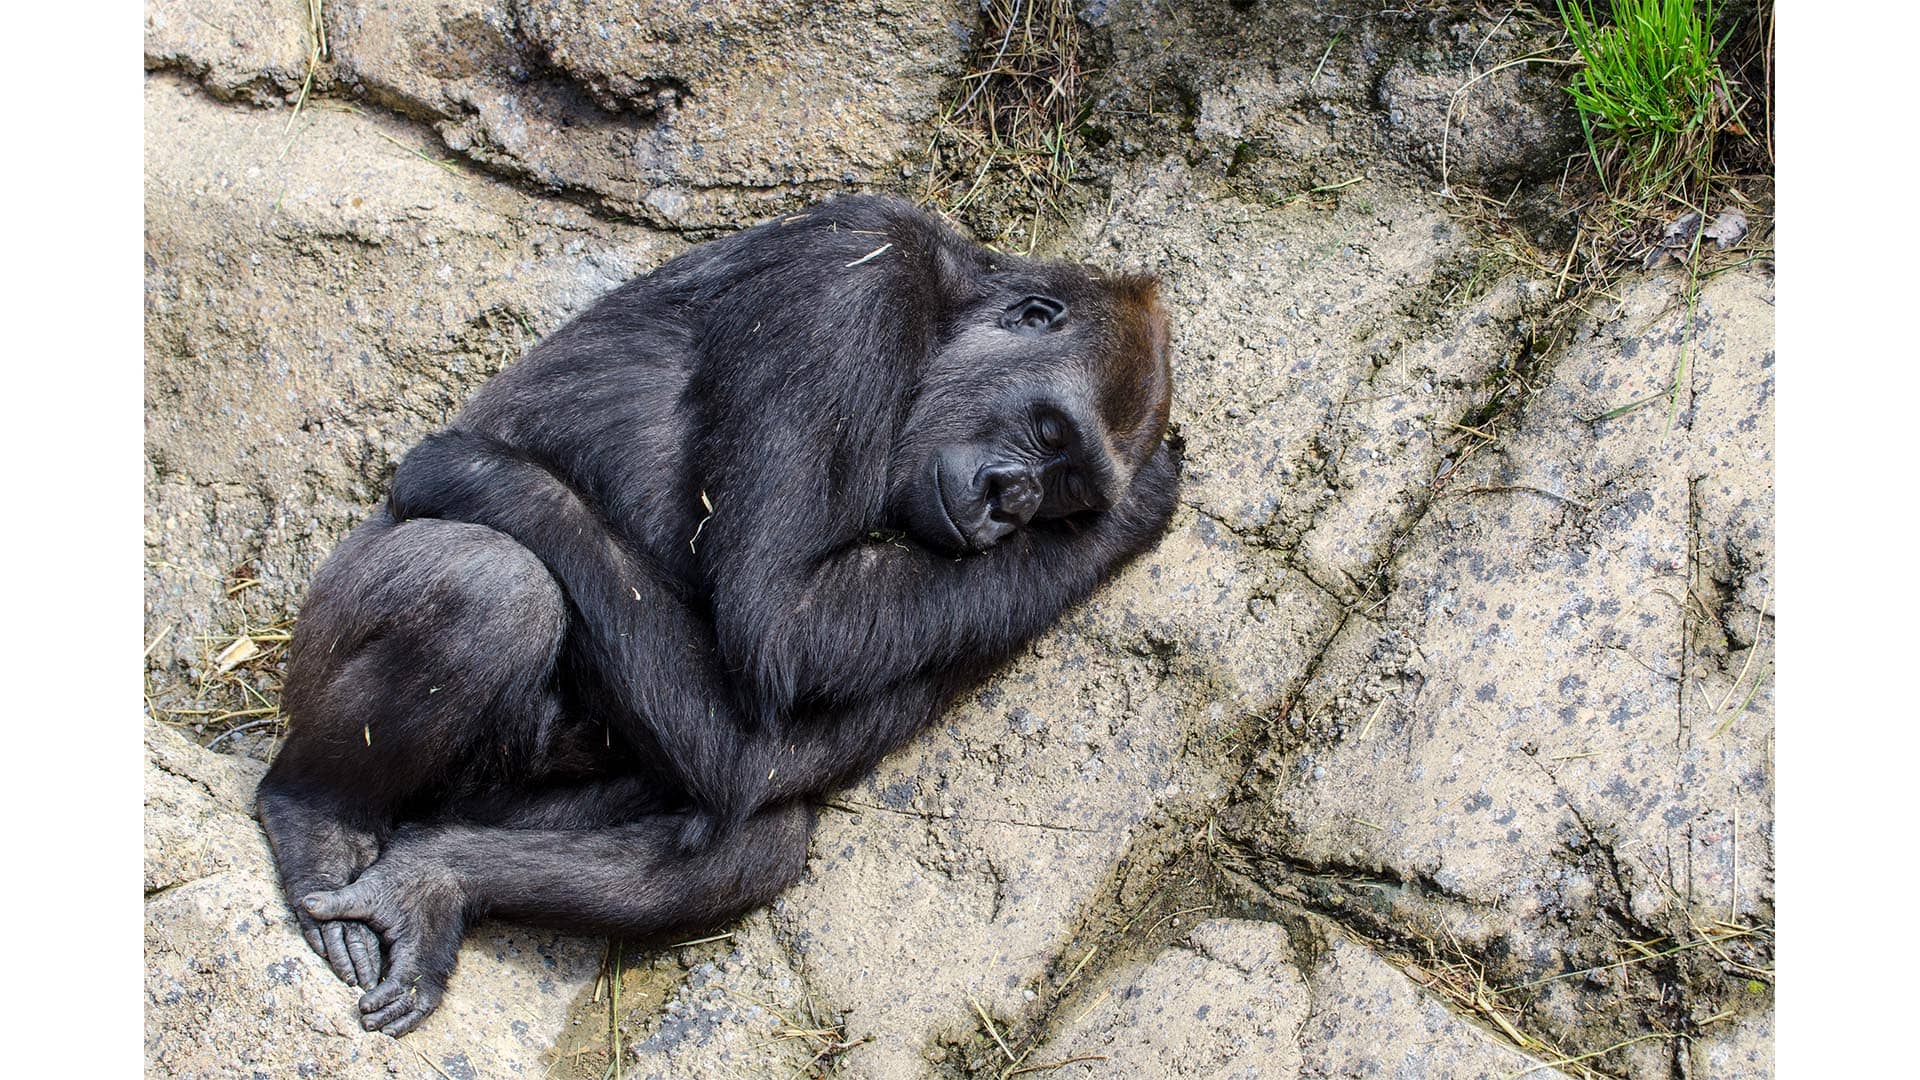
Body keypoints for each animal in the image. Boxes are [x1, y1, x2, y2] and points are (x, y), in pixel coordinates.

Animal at [255, 195, 1175, 1037]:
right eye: (1049, 433)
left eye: (1067, 491)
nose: (1009, 503)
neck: (950, 298)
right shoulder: (851, 284)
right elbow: (788, 621)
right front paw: (480, 474)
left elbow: (769, 741)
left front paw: (1128, 519)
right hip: (324, 623)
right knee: (491, 589)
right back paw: (316, 813)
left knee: (751, 833)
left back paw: (436, 880)